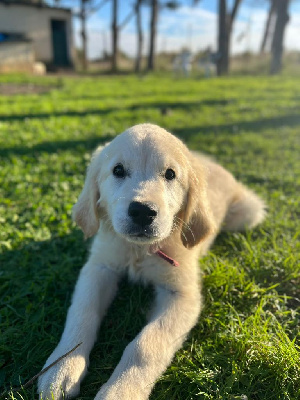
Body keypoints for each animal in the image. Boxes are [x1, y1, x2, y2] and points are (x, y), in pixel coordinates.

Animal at [37, 123, 264, 398]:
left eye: (170, 174)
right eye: (118, 170)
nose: (143, 212)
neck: (139, 250)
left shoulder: (182, 295)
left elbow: (146, 345)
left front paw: (121, 391)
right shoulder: (99, 267)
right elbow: (82, 312)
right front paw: (60, 370)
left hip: (249, 212)